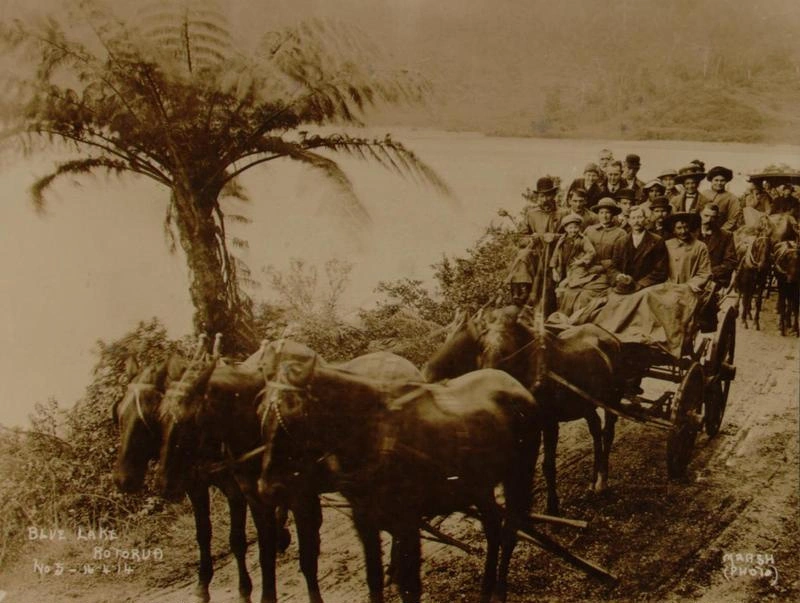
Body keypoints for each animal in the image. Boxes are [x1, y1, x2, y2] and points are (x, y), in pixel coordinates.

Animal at [111, 356, 256, 603]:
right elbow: (203, 535)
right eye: (119, 414)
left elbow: (236, 539)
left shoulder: (234, 489)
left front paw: (244, 590)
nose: (123, 479)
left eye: (146, 417)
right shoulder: (195, 487)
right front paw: (202, 586)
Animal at [260, 340, 540, 603]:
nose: (269, 487)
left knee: (509, 530)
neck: (376, 433)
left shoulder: (406, 520)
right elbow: (374, 579)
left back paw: (499, 591)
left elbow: (410, 586)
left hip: (519, 476)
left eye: (294, 412)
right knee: (493, 529)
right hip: (479, 487)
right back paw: (485, 589)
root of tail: (515, 384)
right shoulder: (365, 520)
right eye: (262, 414)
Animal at [424, 306, 624, 516]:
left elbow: (547, 466)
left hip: (613, 400)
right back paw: (593, 481)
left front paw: (552, 507)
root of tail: (607, 335)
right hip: (587, 404)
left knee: (608, 433)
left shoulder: (548, 424)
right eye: (448, 335)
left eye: (464, 343)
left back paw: (602, 481)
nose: (426, 374)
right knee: (596, 430)